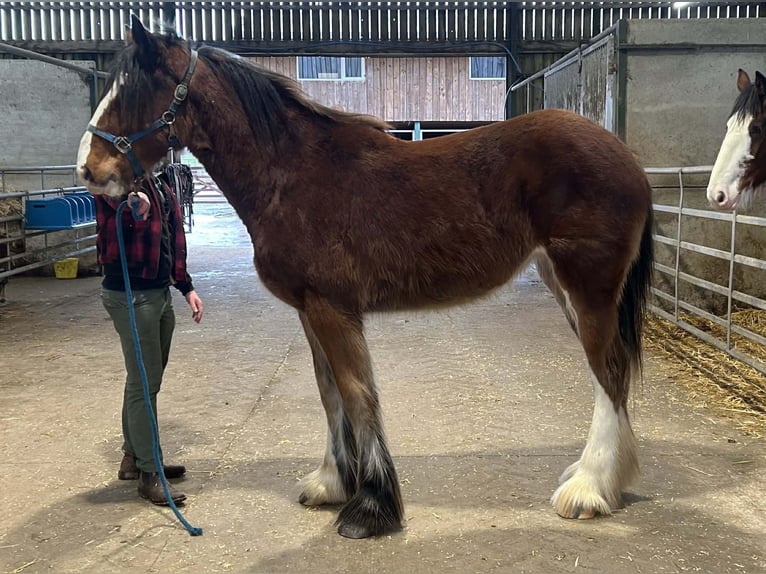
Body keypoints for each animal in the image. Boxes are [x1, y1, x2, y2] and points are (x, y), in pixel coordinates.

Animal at [77, 16, 654, 539]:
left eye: (135, 90)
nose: (88, 170)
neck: (292, 175)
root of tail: (626, 156)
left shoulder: (333, 308)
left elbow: (357, 394)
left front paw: (371, 508)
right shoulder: (309, 310)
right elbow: (329, 394)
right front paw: (333, 483)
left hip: (589, 288)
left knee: (609, 373)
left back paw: (589, 490)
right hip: (566, 287)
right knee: (611, 375)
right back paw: (597, 477)